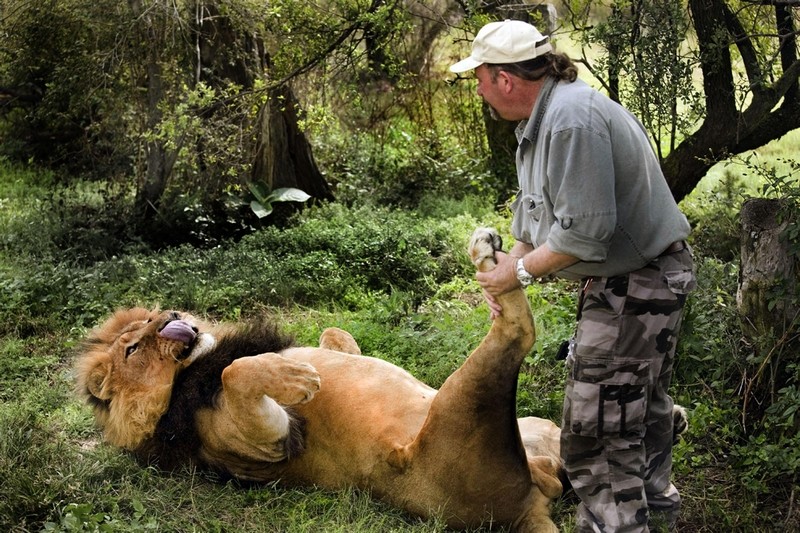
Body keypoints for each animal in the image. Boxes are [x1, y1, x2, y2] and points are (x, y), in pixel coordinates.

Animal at [75, 228, 564, 528]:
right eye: (133, 348)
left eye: (151, 317)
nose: (169, 317)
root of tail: (528, 506)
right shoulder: (266, 441)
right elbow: (236, 371)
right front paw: (297, 377)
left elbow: (333, 335)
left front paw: (319, 356)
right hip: (462, 404)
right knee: (518, 329)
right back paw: (488, 259)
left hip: (541, 428)